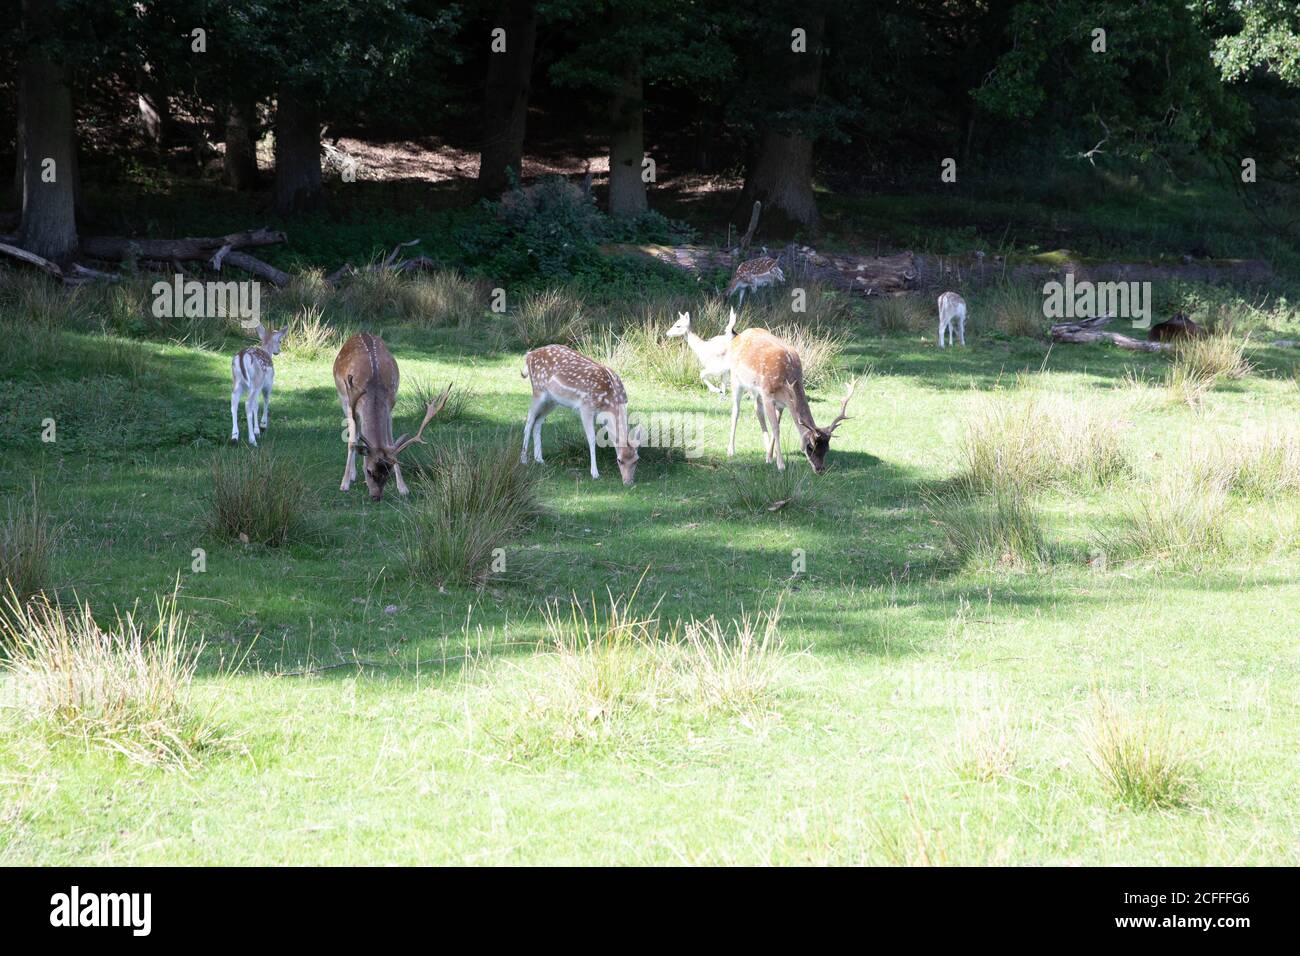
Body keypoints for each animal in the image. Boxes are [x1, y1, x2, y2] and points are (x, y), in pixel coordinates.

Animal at [335, 332, 452, 502]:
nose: (376, 497)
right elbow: (351, 441)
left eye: (388, 472)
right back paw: (351, 475)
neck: (373, 388)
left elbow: (390, 442)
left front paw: (403, 488)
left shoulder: (390, 405)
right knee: (354, 435)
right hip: (343, 398)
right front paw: (344, 485)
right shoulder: (351, 403)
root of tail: (361, 332)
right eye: (369, 470)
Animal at [517, 343, 639, 486]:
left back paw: (539, 459)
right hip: (538, 390)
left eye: (636, 460)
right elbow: (592, 439)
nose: (628, 482)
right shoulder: (586, 407)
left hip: (552, 400)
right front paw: (595, 473)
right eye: (619, 460)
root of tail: (529, 355)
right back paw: (524, 460)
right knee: (529, 420)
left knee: (538, 421)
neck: (610, 401)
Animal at [728, 329, 857, 476]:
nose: (820, 470)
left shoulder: (782, 403)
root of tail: (738, 335)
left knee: (758, 411)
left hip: (755, 391)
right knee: (736, 412)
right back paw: (731, 450)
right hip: (735, 379)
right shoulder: (768, 395)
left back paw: (767, 453)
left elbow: (776, 425)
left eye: (827, 448)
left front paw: (770, 457)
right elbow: (776, 429)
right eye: (810, 446)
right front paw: (781, 465)